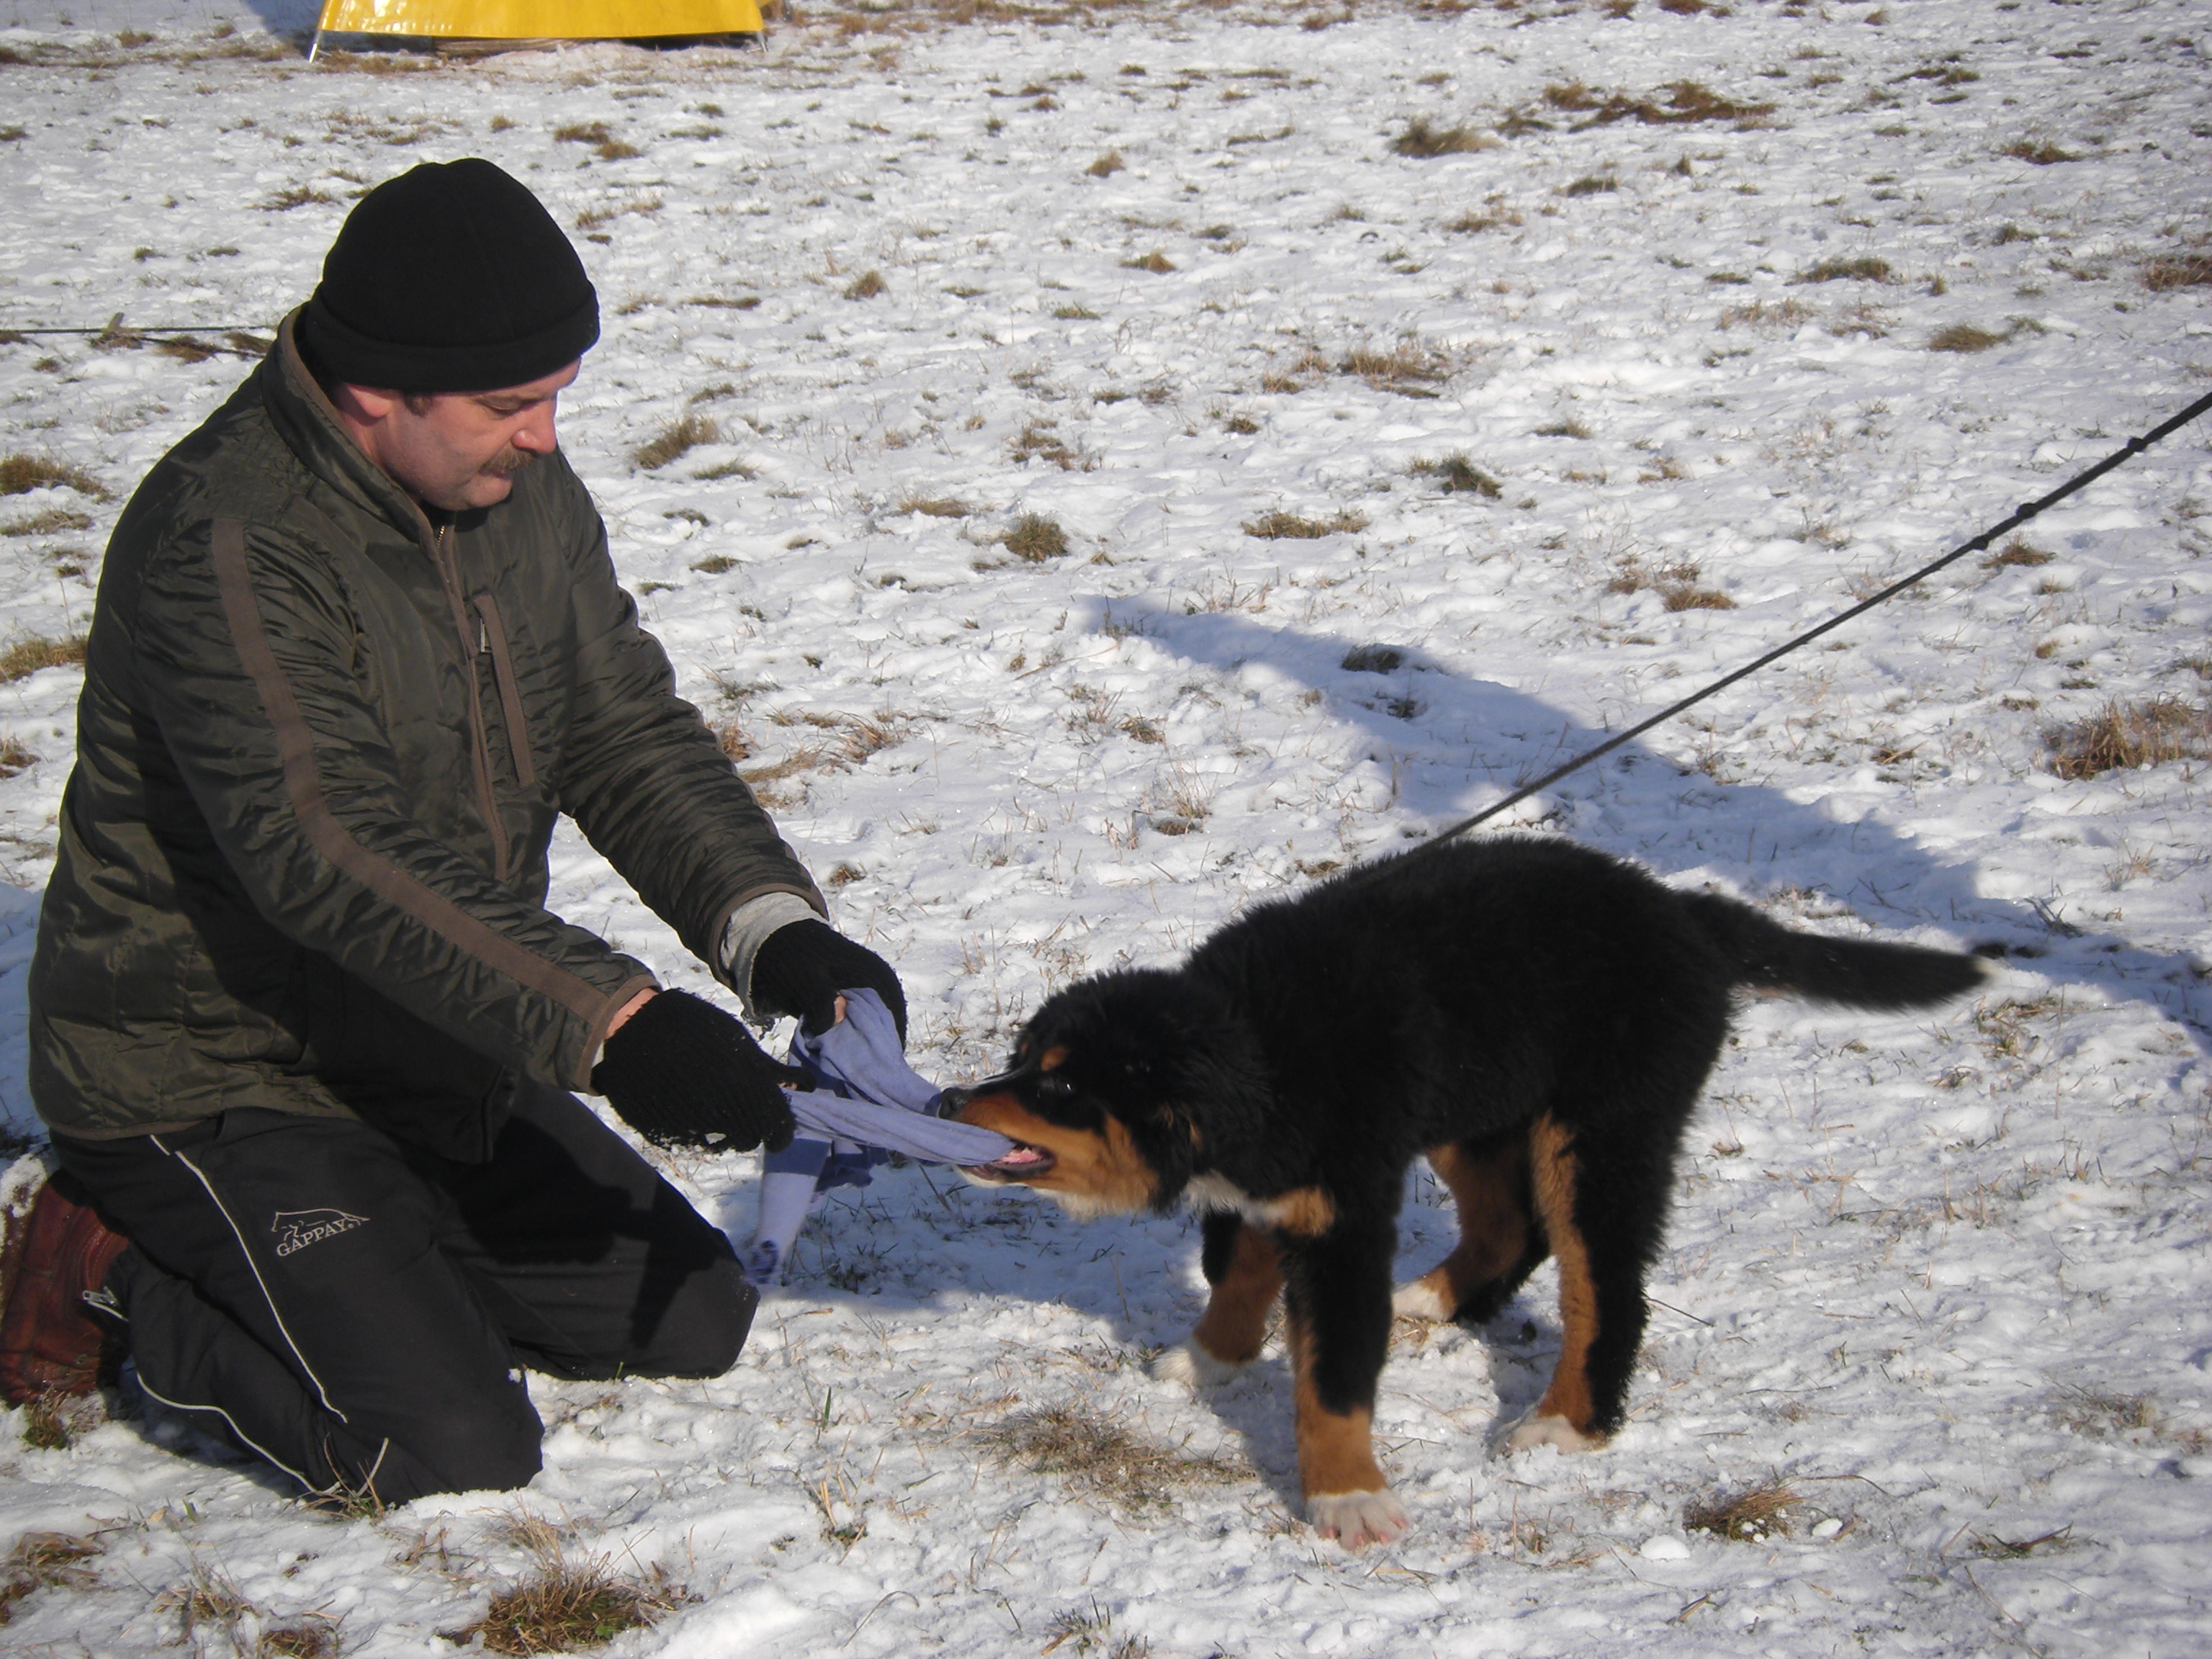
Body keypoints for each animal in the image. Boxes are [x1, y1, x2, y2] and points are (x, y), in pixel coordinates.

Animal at [946, 845, 1990, 1557]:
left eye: (1061, 1086)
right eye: (1022, 1059)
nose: (951, 1101)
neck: (1268, 1047)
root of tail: (1683, 912)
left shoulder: (1344, 1216)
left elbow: (1333, 1377)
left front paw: (1348, 1497)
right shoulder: (1281, 1187)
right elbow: (1240, 1269)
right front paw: (1210, 1361)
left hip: (1599, 1130)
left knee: (1603, 1284)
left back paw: (1566, 1422)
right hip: (1479, 1102)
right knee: (1509, 1227)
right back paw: (1433, 1300)